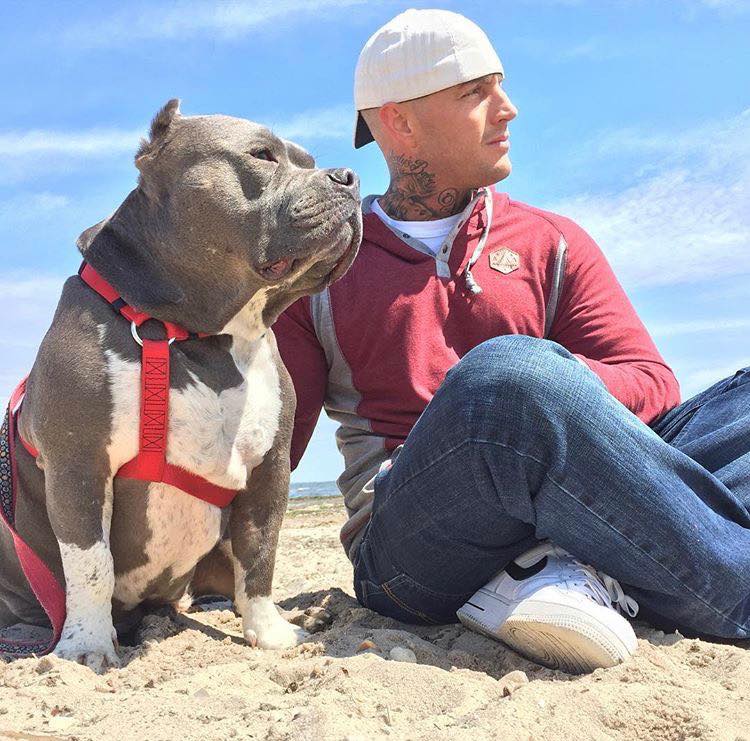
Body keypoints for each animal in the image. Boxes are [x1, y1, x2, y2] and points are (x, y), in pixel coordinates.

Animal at [0, 99, 364, 672]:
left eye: (309, 161)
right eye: (261, 155)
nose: (348, 177)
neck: (200, 335)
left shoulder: (269, 470)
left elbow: (260, 555)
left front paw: (271, 634)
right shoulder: (78, 464)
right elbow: (90, 564)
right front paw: (86, 646)